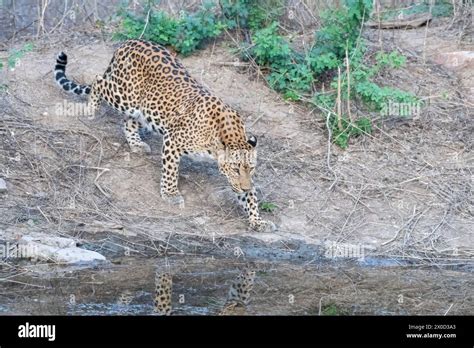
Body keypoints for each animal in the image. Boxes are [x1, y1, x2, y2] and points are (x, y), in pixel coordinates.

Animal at [55, 39, 276, 232]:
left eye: (251, 168)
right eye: (235, 169)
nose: (245, 187)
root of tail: (129, 42)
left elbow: (251, 198)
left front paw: (258, 221)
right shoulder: (173, 140)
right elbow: (171, 171)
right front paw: (170, 194)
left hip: (144, 108)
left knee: (128, 121)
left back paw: (136, 144)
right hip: (125, 95)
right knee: (98, 81)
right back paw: (90, 109)